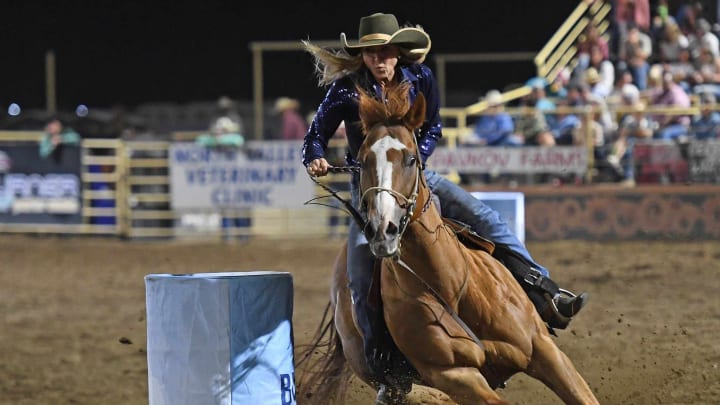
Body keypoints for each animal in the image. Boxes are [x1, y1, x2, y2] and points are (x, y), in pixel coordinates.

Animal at [296, 83, 600, 404]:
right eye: (363, 161)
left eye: (411, 159)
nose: (383, 229)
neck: (453, 286)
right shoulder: (456, 377)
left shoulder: (543, 348)